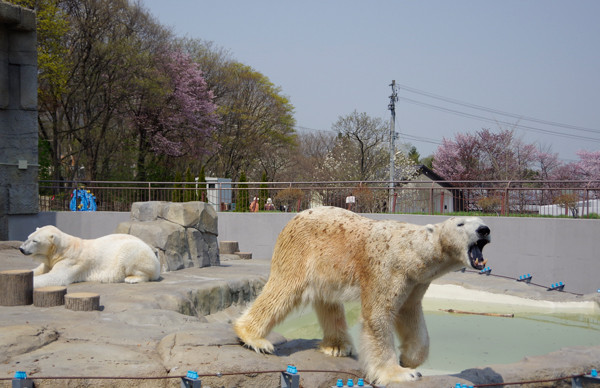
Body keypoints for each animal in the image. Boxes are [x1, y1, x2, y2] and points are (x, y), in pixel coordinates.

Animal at [19, 224, 161, 288]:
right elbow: (39, 270)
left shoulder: (70, 261)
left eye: (35, 241)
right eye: (28, 237)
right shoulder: (50, 261)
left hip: (136, 251)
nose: (21, 248)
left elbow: (56, 277)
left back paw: (132, 278)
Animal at [232, 206, 490, 384]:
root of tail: (295, 216)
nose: (484, 230)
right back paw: (254, 338)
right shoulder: (387, 268)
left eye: (482, 222)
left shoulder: (416, 281)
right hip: (300, 250)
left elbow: (410, 313)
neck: (411, 252)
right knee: (284, 288)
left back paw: (337, 346)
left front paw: (409, 359)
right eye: (460, 224)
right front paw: (400, 373)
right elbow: (379, 315)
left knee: (328, 301)